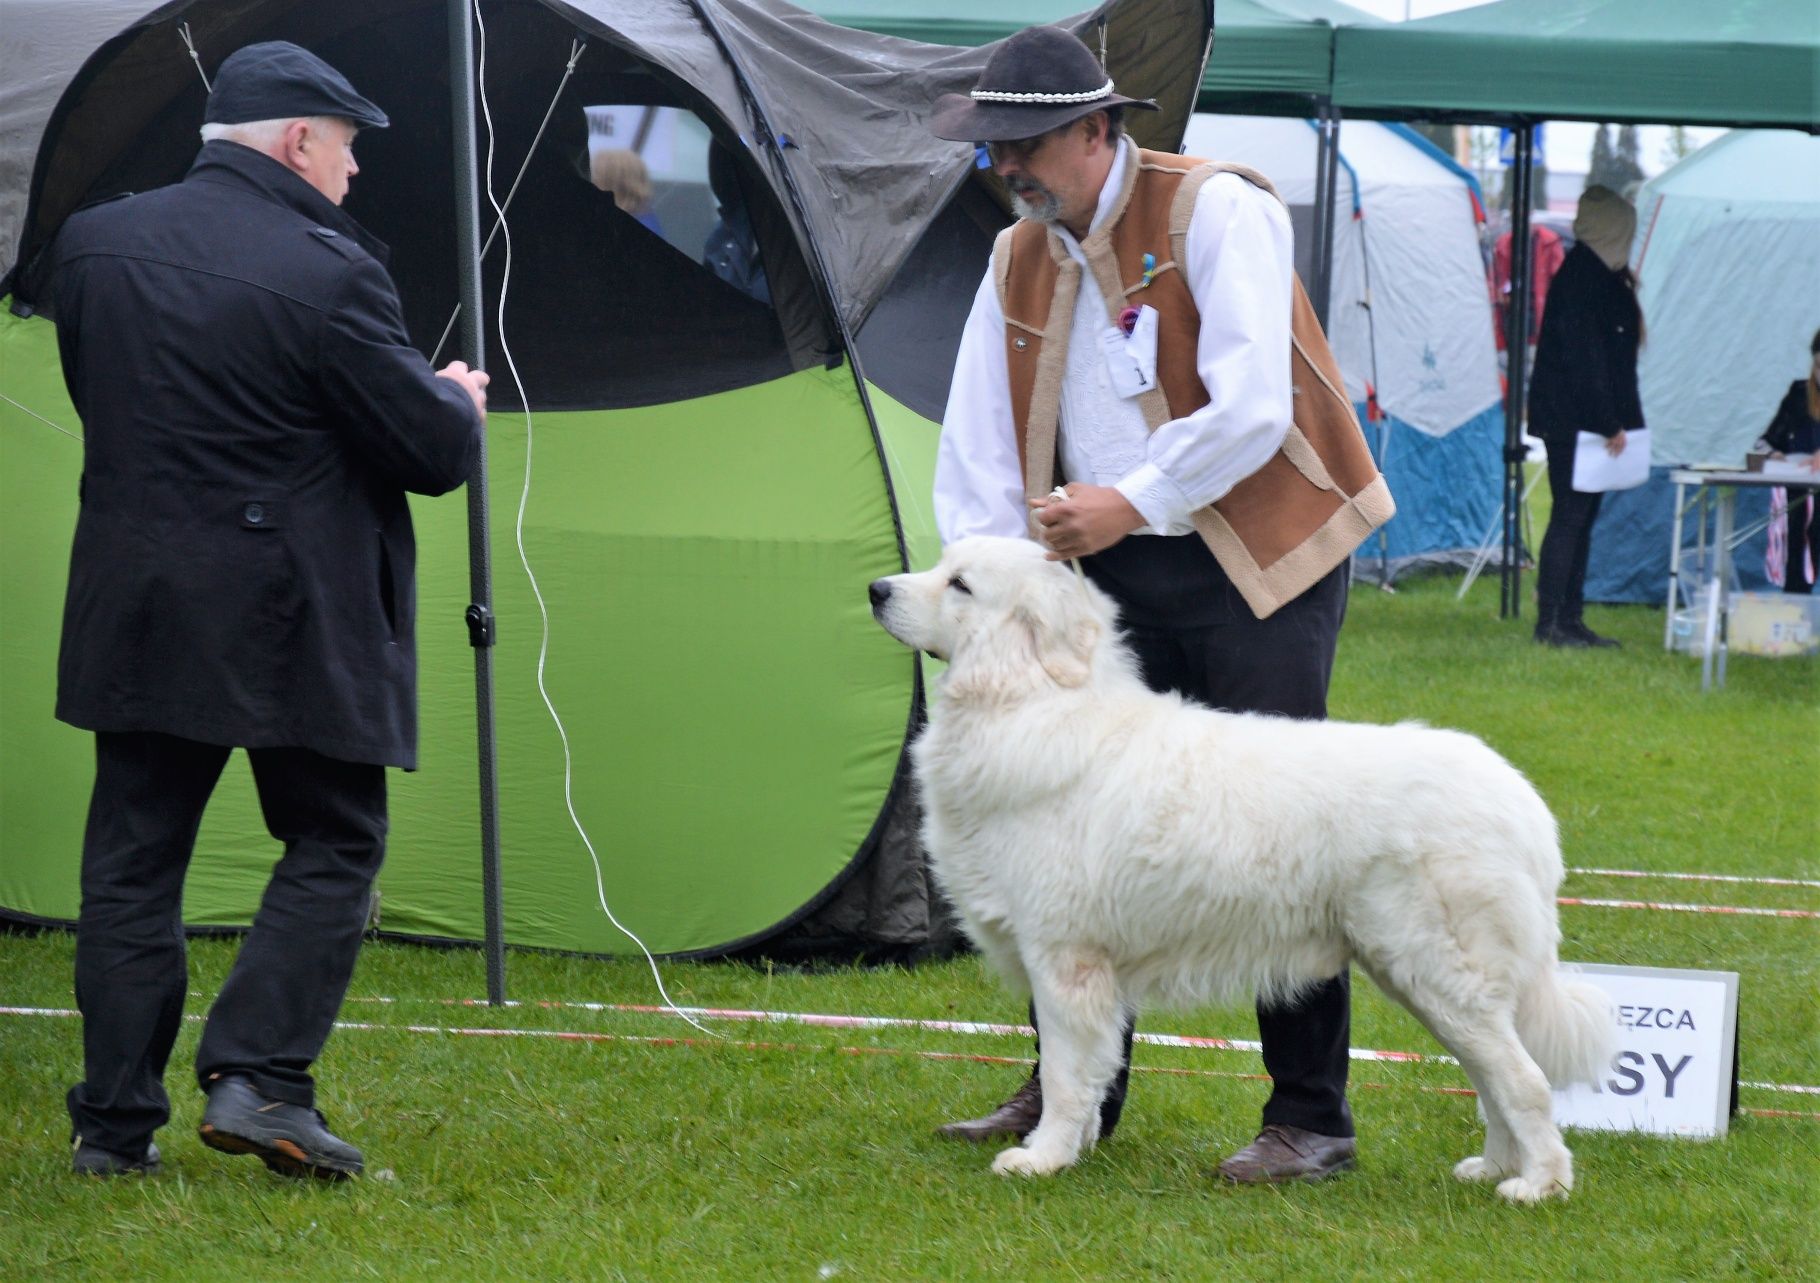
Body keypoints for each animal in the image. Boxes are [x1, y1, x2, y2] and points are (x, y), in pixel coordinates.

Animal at [873, 538, 1616, 1201]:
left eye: (960, 584)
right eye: (941, 565)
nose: (877, 589)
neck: (1031, 698)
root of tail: (1523, 805)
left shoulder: (1065, 958)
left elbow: (1062, 1072)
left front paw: (1042, 1158)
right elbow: (1088, 1072)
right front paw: (1071, 1146)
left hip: (1440, 973)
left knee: (1523, 1081)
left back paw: (1539, 1185)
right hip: (1424, 980)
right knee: (1490, 1079)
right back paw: (1492, 1167)